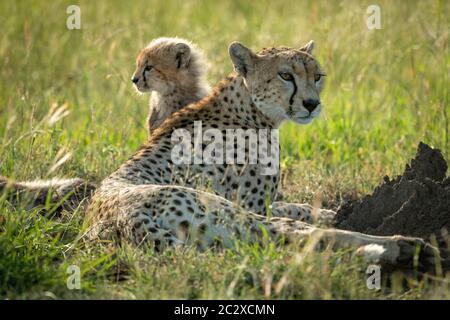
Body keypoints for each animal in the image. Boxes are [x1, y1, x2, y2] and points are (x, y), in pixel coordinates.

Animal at [86, 42, 438, 268]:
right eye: (286, 75)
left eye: (317, 76)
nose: (312, 104)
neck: (250, 108)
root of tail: (118, 221)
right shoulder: (253, 206)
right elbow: (295, 213)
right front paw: (335, 215)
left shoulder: (260, 203)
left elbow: (300, 206)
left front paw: (333, 210)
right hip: (225, 213)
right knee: (298, 235)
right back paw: (402, 246)